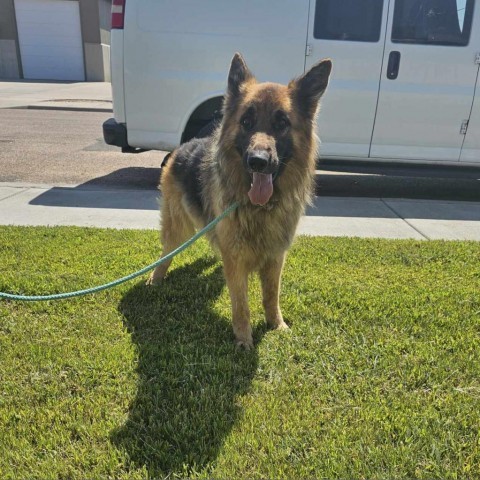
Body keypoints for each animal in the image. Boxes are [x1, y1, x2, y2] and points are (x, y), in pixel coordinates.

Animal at [148, 54, 332, 348]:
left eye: (282, 123)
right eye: (246, 122)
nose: (258, 161)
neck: (260, 209)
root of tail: (183, 147)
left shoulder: (275, 259)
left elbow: (271, 297)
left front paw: (276, 325)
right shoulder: (236, 261)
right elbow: (241, 305)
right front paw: (244, 339)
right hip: (179, 227)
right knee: (167, 252)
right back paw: (156, 278)